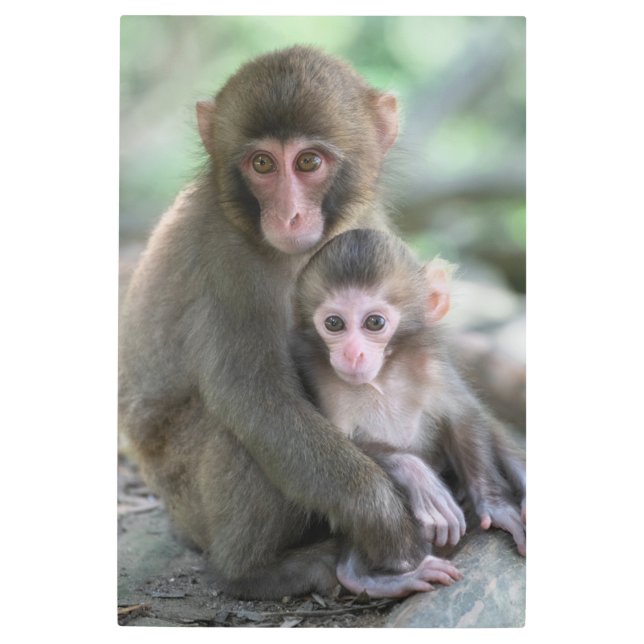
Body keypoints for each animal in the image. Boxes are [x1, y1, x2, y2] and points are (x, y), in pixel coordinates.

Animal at [292, 229, 527, 587]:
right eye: (334, 323)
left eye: (374, 322)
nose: (352, 354)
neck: (382, 378)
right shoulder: (318, 377)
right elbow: (331, 445)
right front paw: (418, 477)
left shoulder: (432, 365)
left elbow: (463, 417)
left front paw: (495, 505)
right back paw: (373, 577)